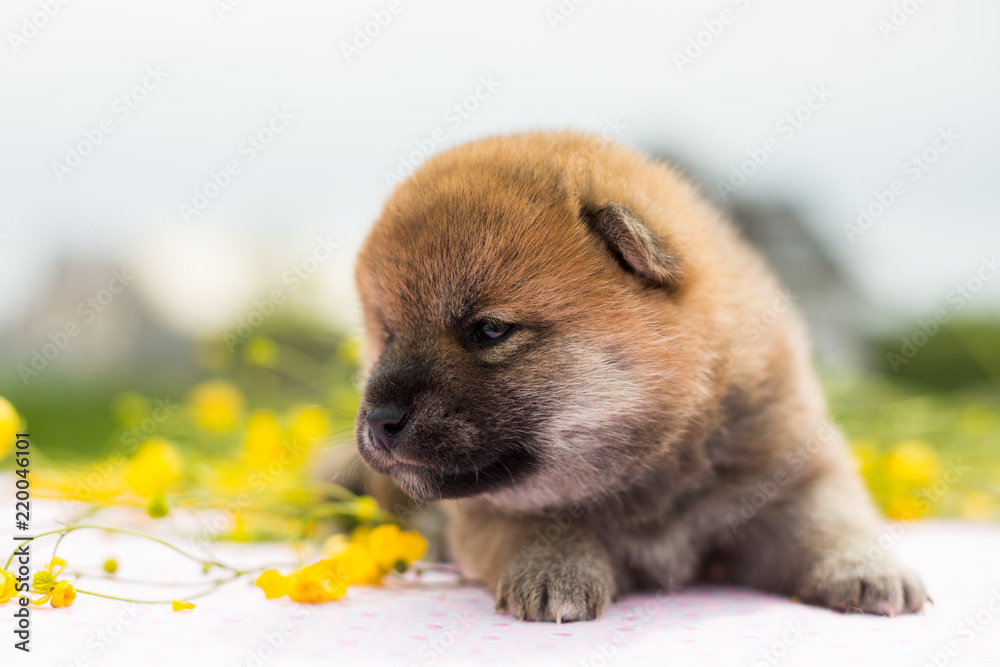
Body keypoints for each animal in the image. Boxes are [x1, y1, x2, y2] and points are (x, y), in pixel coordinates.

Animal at [354, 133, 928, 624]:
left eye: (490, 330)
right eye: (387, 334)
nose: (380, 420)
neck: (653, 463)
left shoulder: (790, 472)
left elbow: (829, 520)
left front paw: (869, 570)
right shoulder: (484, 514)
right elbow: (534, 524)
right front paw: (555, 569)